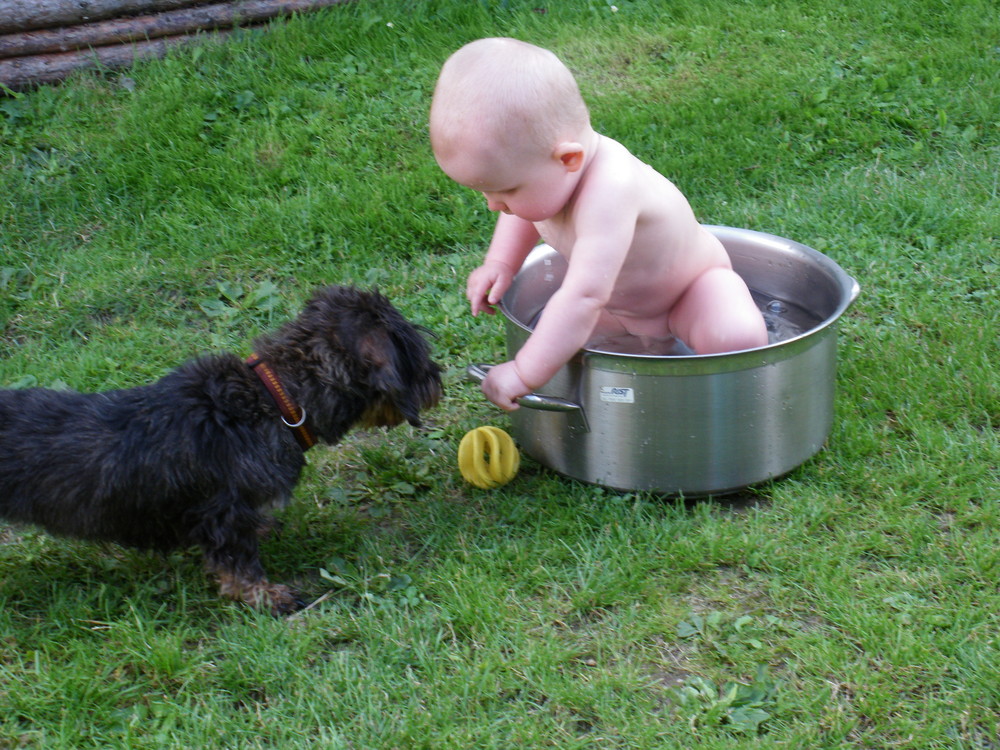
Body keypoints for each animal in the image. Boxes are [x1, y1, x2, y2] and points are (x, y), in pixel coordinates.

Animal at [0, 284, 442, 612]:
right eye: (417, 352)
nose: (439, 379)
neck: (274, 400)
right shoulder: (223, 515)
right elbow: (238, 563)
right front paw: (265, 596)